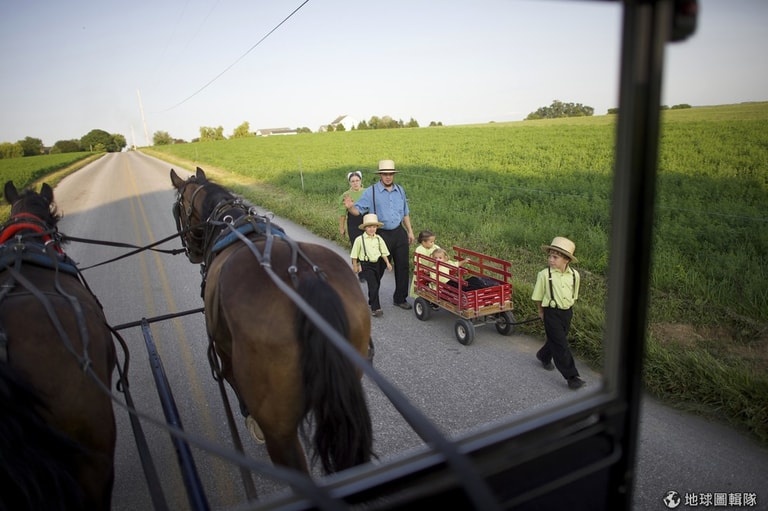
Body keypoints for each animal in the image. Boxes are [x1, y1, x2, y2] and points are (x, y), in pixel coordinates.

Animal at [170, 168, 374, 476]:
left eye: (179, 207)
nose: (191, 252)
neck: (231, 226)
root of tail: (305, 279)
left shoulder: (224, 353)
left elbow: (233, 382)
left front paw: (251, 422)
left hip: (280, 430)